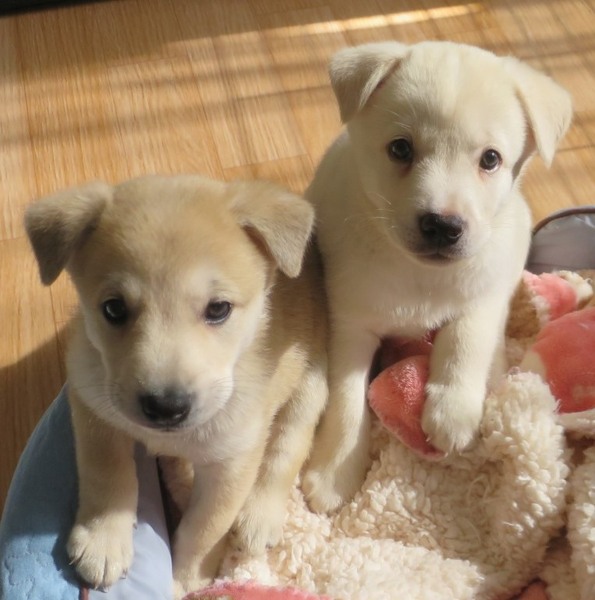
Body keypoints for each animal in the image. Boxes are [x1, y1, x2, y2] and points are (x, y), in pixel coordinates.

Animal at [25, 174, 328, 597]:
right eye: (113, 309)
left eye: (218, 309)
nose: (166, 407)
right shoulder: (92, 407)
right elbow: (106, 472)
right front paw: (104, 539)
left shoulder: (231, 464)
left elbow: (203, 529)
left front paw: (184, 579)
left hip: (309, 387)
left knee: (288, 445)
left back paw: (259, 516)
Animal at [301, 41, 572, 513]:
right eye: (400, 149)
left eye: (490, 159)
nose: (443, 226)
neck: (420, 276)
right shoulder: (349, 325)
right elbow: (347, 401)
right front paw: (336, 471)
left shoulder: (487, 288)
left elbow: (466, 336)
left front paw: (453, 410)